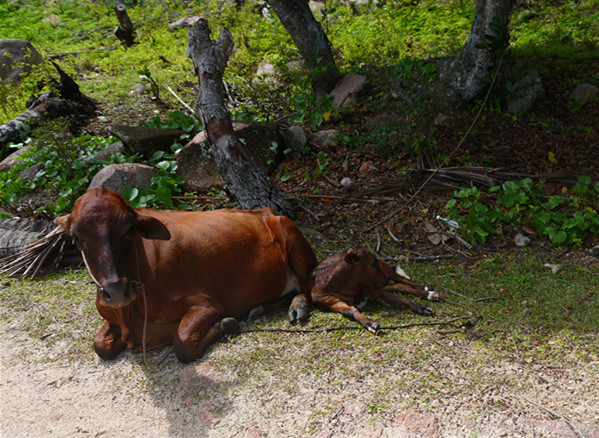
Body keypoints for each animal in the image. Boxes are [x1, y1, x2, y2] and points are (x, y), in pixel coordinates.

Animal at [56, 188, 318, 362]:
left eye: (129, 230)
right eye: (77, 239)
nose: (116, 291)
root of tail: (265, 211)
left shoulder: (207, 304)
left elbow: (182, 344)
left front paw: (225, 325)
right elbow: (99, 345)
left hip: (291, 235)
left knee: (306, 287)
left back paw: (298, 307)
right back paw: (259, 308)